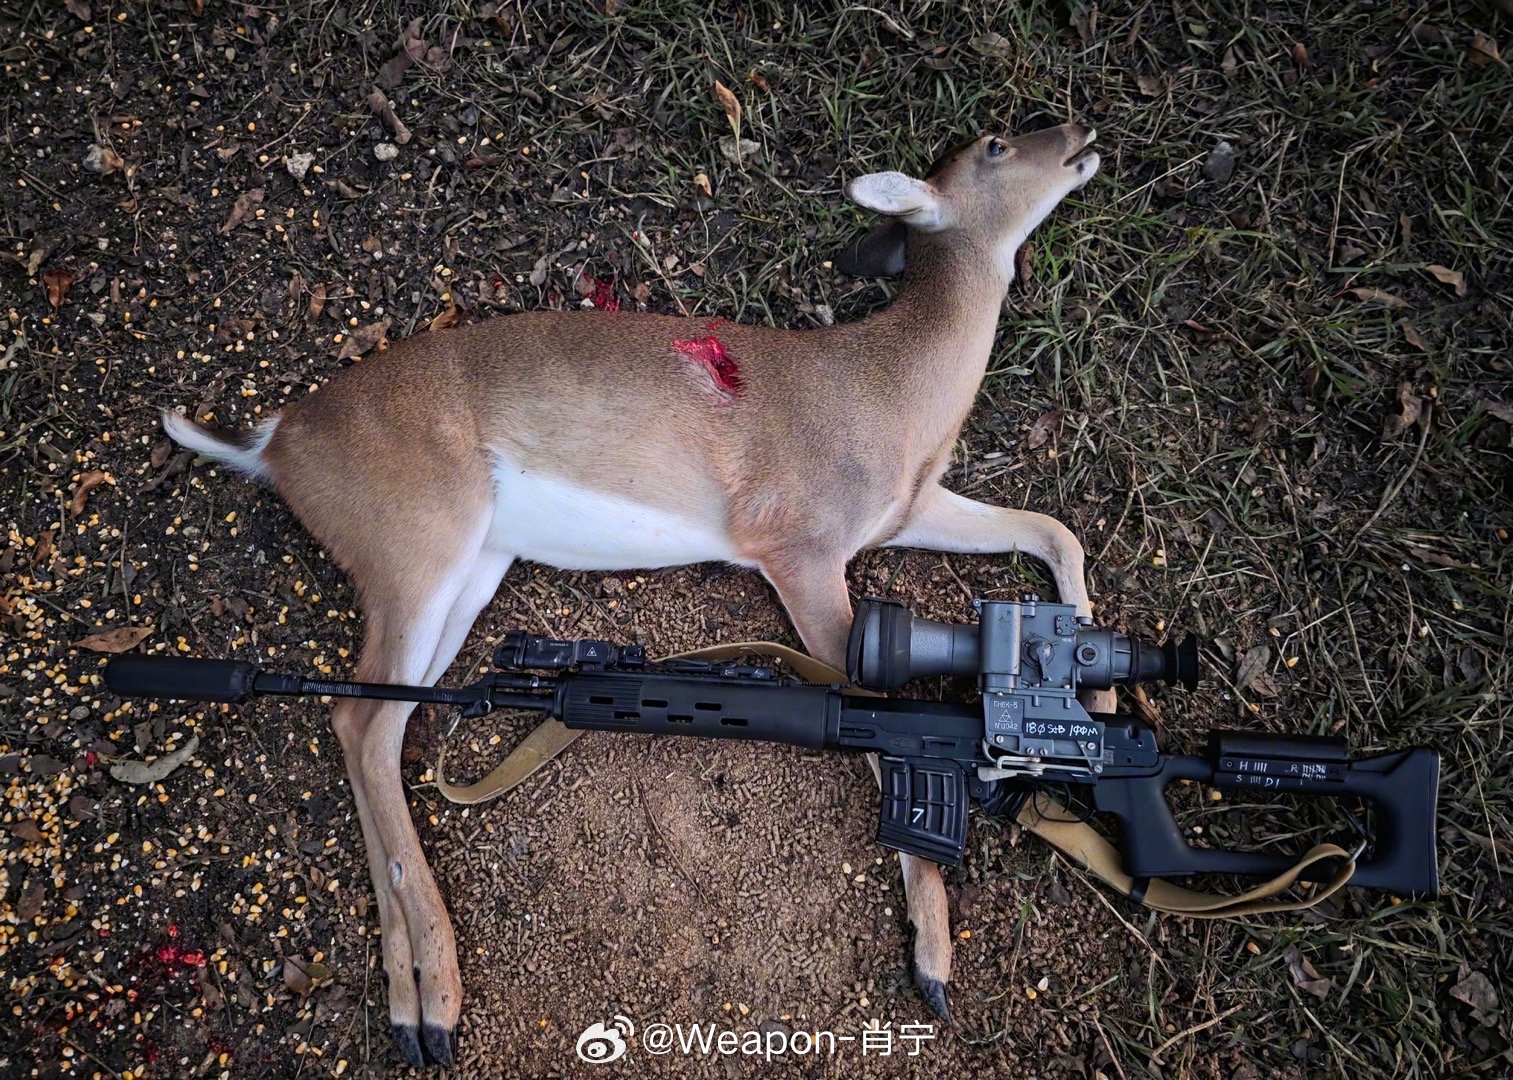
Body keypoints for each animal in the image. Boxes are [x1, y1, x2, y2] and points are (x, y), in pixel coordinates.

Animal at [158, 122, 1103, 1067]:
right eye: (995, 144)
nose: (1078, 134)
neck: (897, 399)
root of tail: (273, 445)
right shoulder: (798, 541)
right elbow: (879, 729)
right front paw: (932, 958)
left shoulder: (898, 513)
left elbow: (1052, 527)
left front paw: (1090, 666)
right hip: (415, 542)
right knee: (360, 716)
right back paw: (432, 1004)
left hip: (469, 564)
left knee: (373, 723)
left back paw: (418, 1001)